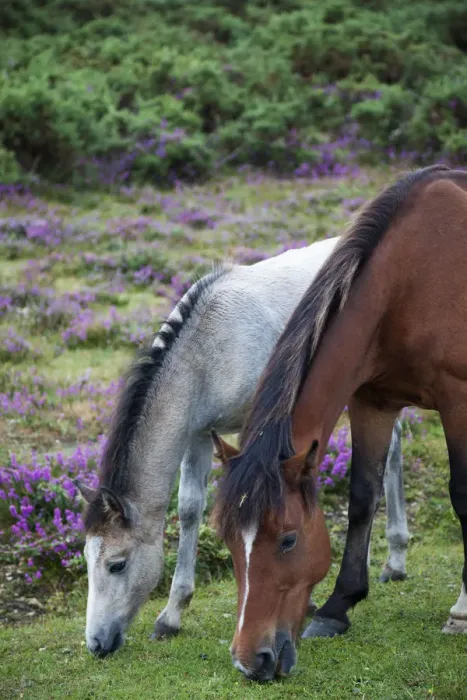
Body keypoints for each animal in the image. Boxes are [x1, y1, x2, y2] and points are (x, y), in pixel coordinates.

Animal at [75, 236, 408, 658]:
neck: (209, 348)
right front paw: (171, 615)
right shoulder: (198, 434)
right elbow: (189, 508)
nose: (96, 643)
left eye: (117, 564)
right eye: (87, 559)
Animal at [215, 164, 467, 682]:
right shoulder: (372, 402)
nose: (250, 661)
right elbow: (362, 498)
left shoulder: (457, 398)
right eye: (229, 541)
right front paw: (338, 607)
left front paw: (462, 612)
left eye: (288, 540)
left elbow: (463, 497)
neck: (411, 278)